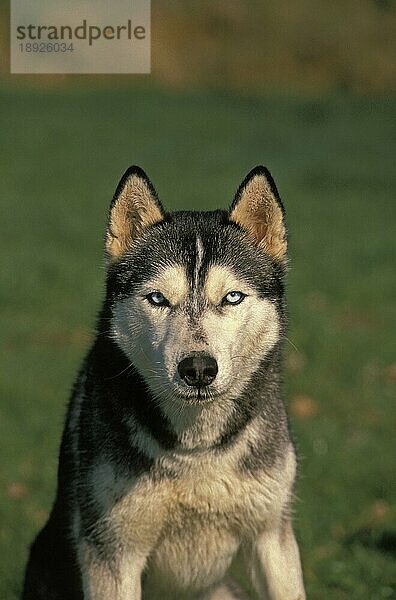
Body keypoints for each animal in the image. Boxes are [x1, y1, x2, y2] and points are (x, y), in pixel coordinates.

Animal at [23, 166, 304, 600]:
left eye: (232, 297)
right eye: (157, 299)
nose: (198, 369)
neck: (197, 450)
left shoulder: (271, 537)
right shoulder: (112, 552)